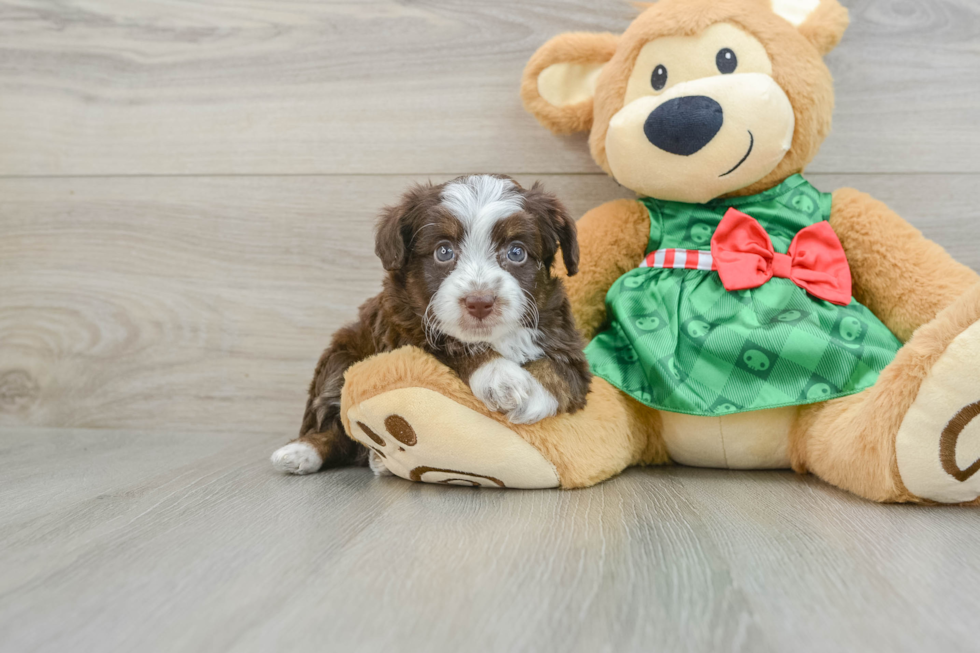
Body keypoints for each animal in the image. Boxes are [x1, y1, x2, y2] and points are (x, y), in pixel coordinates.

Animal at [268, 176, 588, 476]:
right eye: (443, 252)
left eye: (516, 252)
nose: (480, 302)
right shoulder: (406, 328)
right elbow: (455, 344)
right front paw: (501, 377)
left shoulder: (565, 339)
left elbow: (560, 370)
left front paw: (532, 393)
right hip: (340, 356)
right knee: (334, 424)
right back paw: (302, 452)